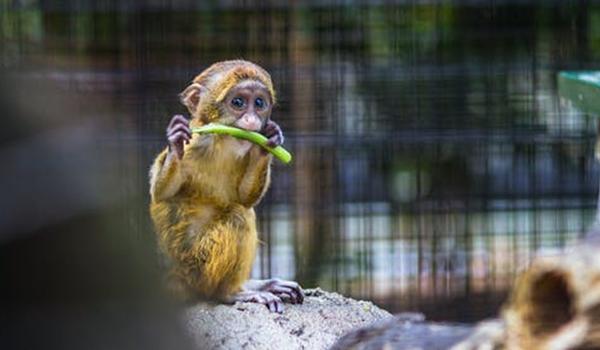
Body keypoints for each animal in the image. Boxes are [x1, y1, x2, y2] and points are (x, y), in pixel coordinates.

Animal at [148, 59, 302, 312]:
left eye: (259, 103)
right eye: (238, 102)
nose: (252, 120)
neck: (222, 143)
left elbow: (245, 197)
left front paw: (269, 140)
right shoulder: (196, 143)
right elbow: (161, 193)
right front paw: (175, 143)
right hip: (197, 268)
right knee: (239, 216)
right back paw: (229, 293)